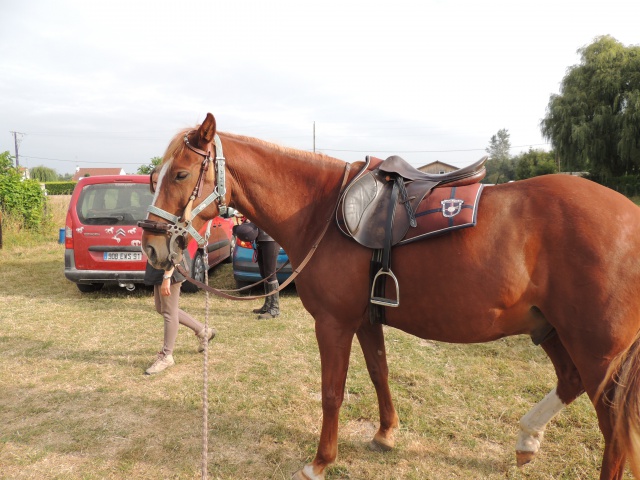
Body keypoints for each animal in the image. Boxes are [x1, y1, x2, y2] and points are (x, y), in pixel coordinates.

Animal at [142, 113, 640, 480]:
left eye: (182, 173)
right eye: (154, 179)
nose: (151, 247)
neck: (320, 210)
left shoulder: (334, 324)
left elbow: (332, 391)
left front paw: (321, 461)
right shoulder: (365, 320)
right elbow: (380, 373)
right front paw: (385, 434)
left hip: (597, 353)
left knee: (613, 432)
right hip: (549, 327)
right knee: (569, 382)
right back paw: (526, 439)